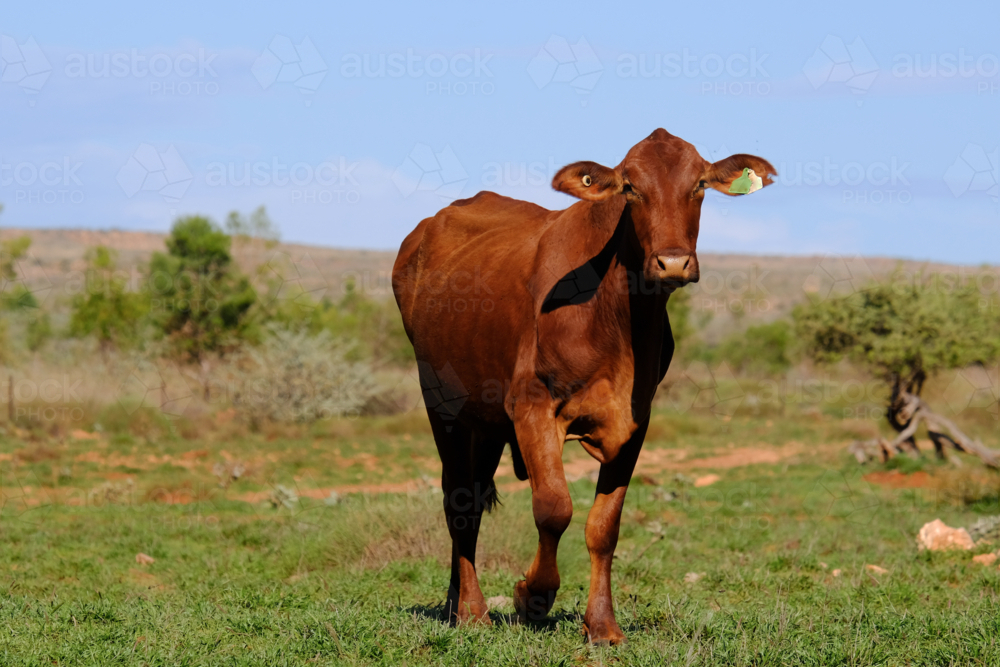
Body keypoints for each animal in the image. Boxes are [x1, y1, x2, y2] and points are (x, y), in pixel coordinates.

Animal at [392, 128, 775, 645]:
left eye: (699, 184)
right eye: (630, 188)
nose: (673, 262)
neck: (618, 319)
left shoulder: (634, 419)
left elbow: (604, 526)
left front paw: (602, 625)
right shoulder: (531, 405)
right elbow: (554, 507)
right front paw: (532, 596)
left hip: (484, 420)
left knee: (470, 498)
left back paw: (456, 604)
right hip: (443, 405)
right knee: (460, 502)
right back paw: (472, 610)